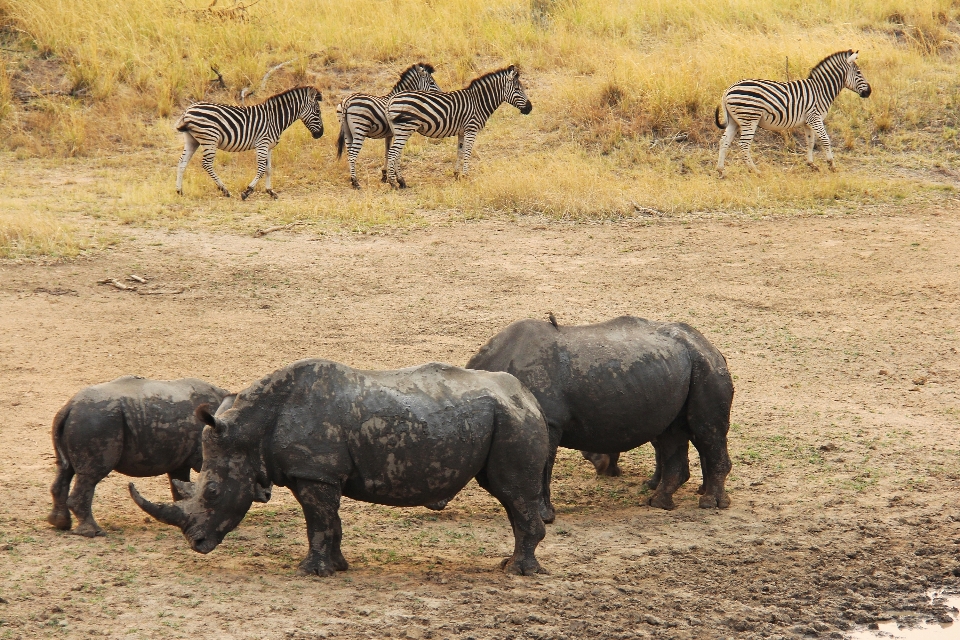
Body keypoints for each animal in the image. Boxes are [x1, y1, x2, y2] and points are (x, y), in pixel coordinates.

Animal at [179, 86, 326, 199]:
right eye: (318, 112)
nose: (320, 134)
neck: (275, 118)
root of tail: (188, 111)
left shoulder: (269, 147)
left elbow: (268, 169)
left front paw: (270, 191)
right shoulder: (262, 144)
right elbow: (261, 169)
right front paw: (247, 191)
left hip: (192, 140)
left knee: (182, 162)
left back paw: (179, 191)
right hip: (210, 138)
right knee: (206, 164)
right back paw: (225, 190)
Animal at [382, 65, 532, 190]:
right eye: (518, 89)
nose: (530, 108)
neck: (478, 102)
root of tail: (391, 100)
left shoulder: (462, 131)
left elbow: (460, 151)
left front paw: (456, 174)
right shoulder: (471, 129)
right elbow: (467, 152)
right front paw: (465, 175)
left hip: (399, 130)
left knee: (396, 153)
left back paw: (401, 181)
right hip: (405, 128)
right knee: (393, 152)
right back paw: (393, 182)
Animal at [712, 49, 872, 178]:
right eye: (859, 72)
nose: (869, 92)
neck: (821, 90)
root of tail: (727, 91)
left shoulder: (808, 121)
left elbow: (810, 142)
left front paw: (811, 164)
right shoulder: (815, 117)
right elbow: (825, 140)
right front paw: (831, 165)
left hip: (735, 121)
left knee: (724, 141)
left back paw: (721, 170)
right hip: (749, 119)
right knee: (744, 144)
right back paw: (755, 170)